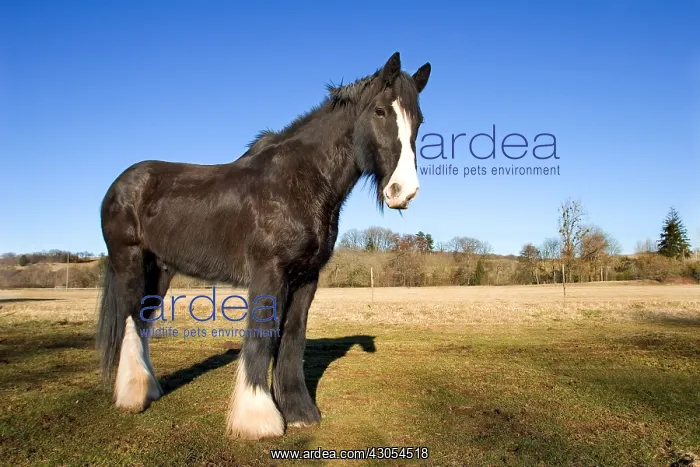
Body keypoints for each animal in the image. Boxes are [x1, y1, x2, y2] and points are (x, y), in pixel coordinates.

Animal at [96, 51, 431, 440]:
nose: (404, 191)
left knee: (144, 320)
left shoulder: (306, 278)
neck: (299, 181)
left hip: (160, 269)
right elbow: (263, 335)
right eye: (380, 111)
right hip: (129, 261)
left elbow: (292, 338)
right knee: (130, 320)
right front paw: (258, 419)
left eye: (418, 120)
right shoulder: (269, 273)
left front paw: (299, 412)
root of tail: (120, 185)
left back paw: (149, 389)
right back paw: (132, 396)